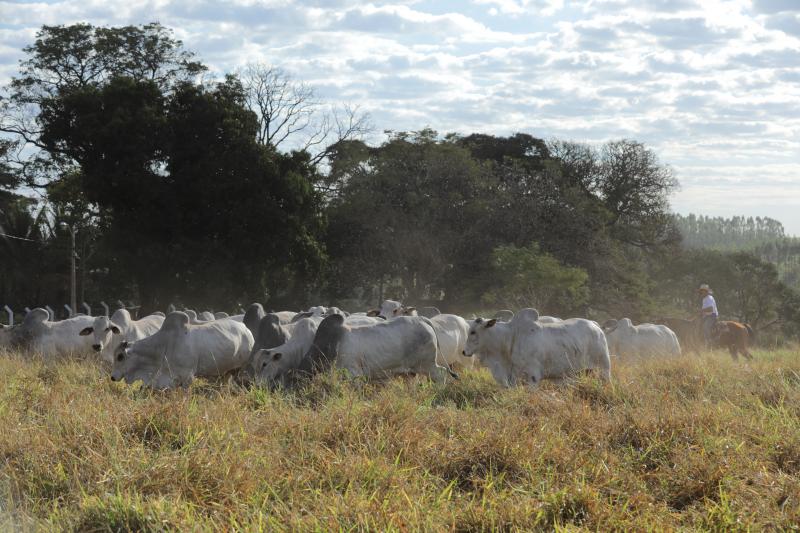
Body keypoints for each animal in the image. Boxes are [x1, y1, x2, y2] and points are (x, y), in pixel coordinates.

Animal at [111, 310, 255, 388]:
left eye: (120, 357)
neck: (164, 346)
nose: (112, 377)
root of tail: (245, 329)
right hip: (226, 372)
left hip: (239, 368)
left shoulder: (187, 377)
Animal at [256, 316, 456, 386]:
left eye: (265, 364)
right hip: (410, 372)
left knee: (442, 374)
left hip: (427, 365)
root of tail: (424, 320)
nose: (257, 385)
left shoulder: (354, 374)